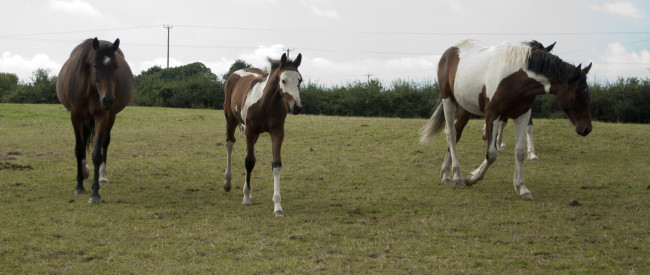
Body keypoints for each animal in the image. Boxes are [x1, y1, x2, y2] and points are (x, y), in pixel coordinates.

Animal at [57, 37, 134, 204]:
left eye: (116, 66)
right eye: (95, 65)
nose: (108, 100)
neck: (89, 87)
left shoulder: (102, 116)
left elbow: (97, 153)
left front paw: (95, 194)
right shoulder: (75, 116)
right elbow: (79, 149)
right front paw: (79, 186)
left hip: (110, 117)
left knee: (105, 142)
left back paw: (102, 177)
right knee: (84, 139)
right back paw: (84, 171)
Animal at [221, 52, 302, 217]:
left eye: (300, 80)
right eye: (283, 80)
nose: (297, 107)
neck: (265, 103)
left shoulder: (277, 132)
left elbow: (276, 164)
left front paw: (277, 206)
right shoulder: (250, 130)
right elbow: (249, 162)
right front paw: (246, 198)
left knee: (247, 151)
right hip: (231, 120)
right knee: (230, 144)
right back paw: (228, 183)